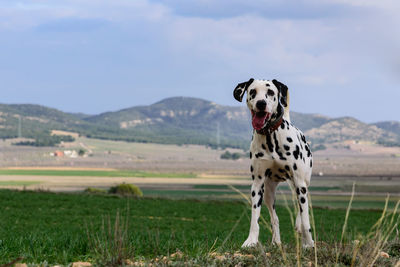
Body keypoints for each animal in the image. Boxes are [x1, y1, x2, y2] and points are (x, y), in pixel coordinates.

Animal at [233, 78, 314, 250]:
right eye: (253, 92)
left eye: (270, 92)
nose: (261, 103)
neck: (271, 137)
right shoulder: (257, 185)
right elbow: (255, 219)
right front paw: (251, 241)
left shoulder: (300, 183)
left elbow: (305, 219)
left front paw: (309, 243)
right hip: (269, 192)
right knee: (274, 218)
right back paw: (276, 241)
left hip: (301, 184)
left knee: (300, 208)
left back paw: (300, 229)